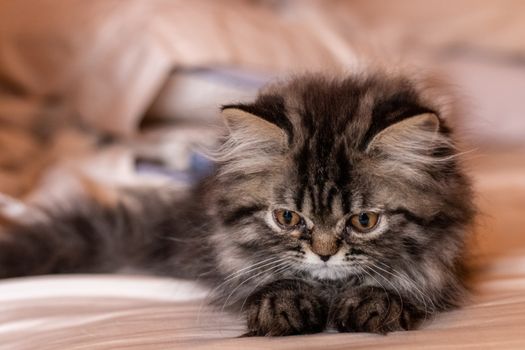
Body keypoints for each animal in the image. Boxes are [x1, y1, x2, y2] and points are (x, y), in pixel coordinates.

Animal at [0, 70, 474, 336]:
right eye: (287, 217)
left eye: (363, 221)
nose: (324, 255)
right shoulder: (228, 258)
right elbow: (267, 281)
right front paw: (282, 306)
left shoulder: (440, 265)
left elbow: (399, 284)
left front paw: (375, 304)